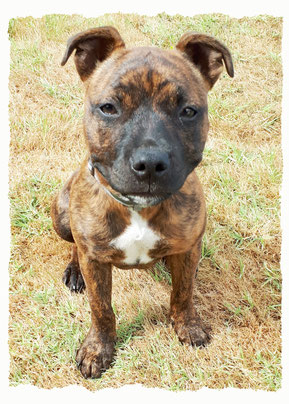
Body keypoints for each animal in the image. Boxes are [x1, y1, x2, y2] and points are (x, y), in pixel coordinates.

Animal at [50, 27, 233, 378]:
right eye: (109, 107)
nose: (150, 163)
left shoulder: (189, 248)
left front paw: (188, 326)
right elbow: (101, 308)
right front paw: (98, 349)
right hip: (62, 212)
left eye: (188, 111)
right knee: (74, 244)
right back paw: (74, 270)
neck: (138, 208)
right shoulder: (95, 261)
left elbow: (184, 292)